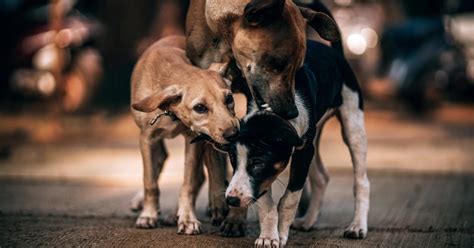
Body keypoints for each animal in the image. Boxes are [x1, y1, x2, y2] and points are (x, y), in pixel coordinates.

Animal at [131, 35, 241, 234]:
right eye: (200, 108)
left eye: (229, 98)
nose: (233, 134)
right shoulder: (147, 138)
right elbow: (150, 181)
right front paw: (148, 215)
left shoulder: (194, 140)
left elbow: (188, 184)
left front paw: (187, 218)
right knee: (160, 161)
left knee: (202, 175)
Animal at [222, 40, 370, 246]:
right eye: (232, 161)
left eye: (258, 163)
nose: (232, 200)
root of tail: (336, 51)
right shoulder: (296, 156)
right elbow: (266, 202)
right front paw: (268, 236)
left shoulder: (302, 152)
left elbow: (289, 199)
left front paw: (280, 235)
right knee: (321, 177)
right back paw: (308, 221)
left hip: (353, 124)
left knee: (361, 182)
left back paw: (357, 226)